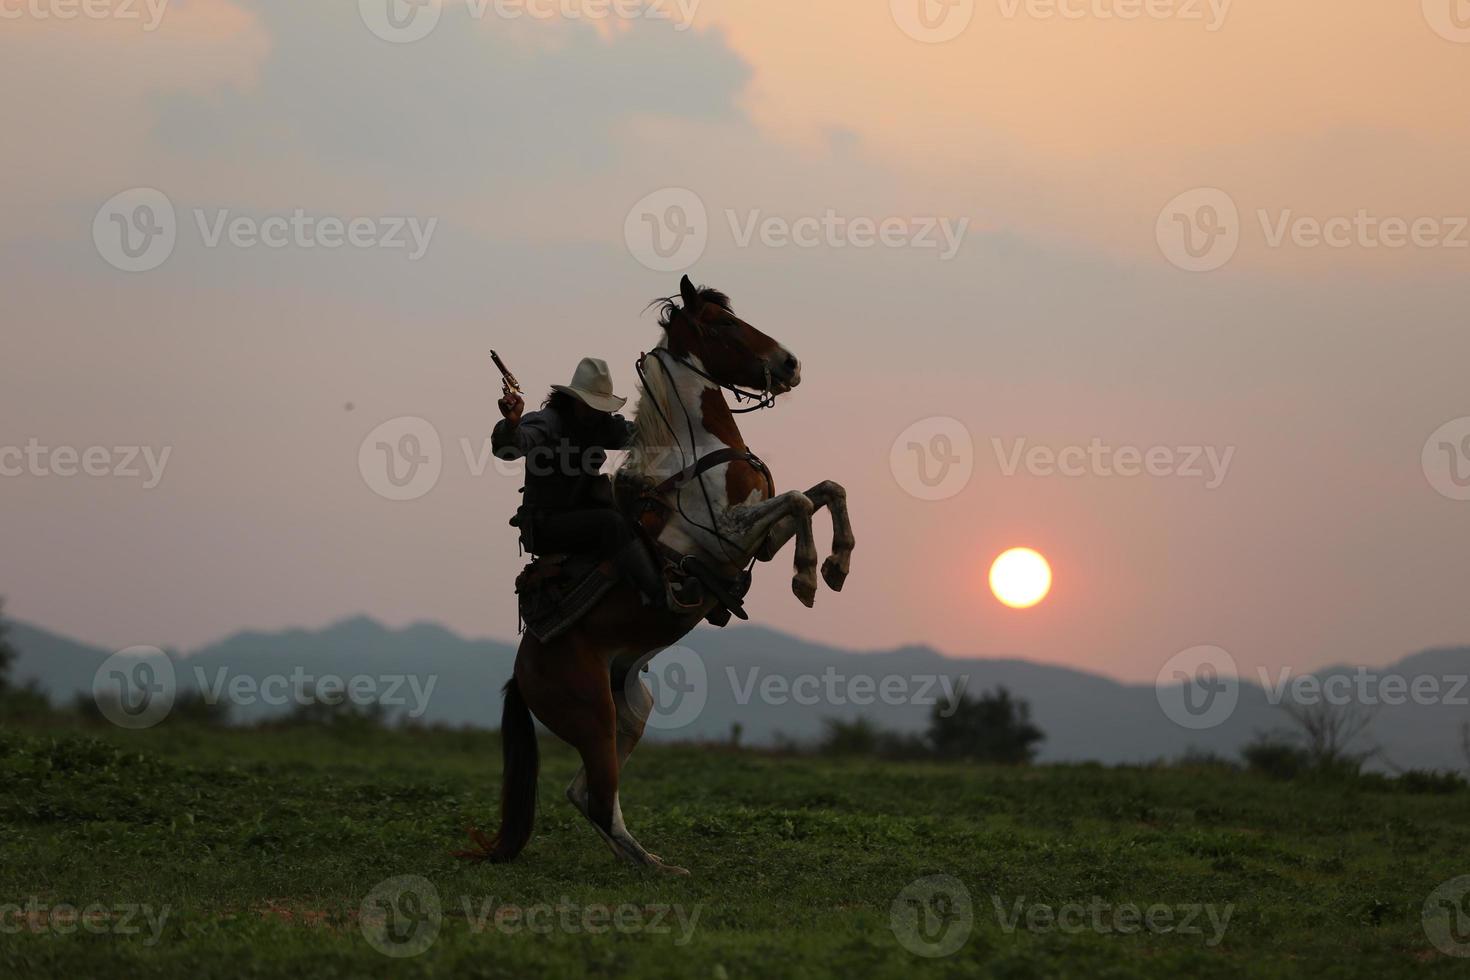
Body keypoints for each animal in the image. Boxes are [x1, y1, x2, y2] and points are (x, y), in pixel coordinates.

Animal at [455, 274, 852, 875]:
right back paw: (656, 868)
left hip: (631, 711)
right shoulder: (727, 535)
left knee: (586, 795)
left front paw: (836, 564)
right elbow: (801, 499)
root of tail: (522, 675)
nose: (790, 363)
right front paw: (807, 577)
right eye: (722, 323)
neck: (698, 448)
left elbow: (826, 490)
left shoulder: (757, 541)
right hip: (592, 714)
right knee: (598, 795)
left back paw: (650, 863)